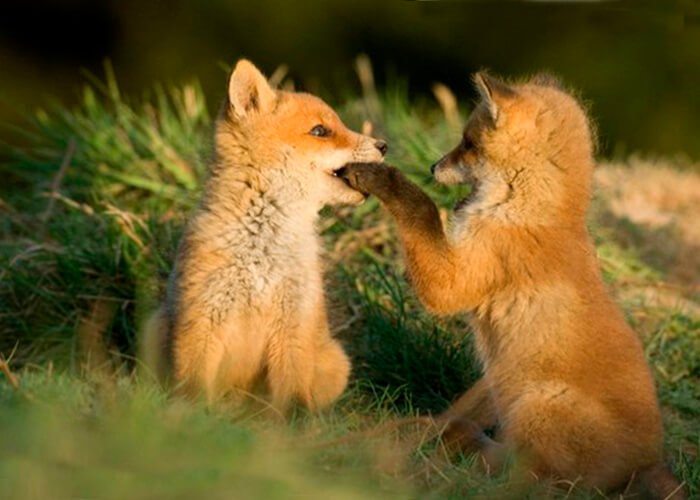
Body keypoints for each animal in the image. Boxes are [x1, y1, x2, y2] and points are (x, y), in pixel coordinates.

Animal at [141, 59, 387, 414]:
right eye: (320, 131)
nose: (384, 146)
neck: (262, 252)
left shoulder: (294, 322)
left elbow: (293, 396)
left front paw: (295, 425)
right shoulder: (202, 317)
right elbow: (193, 390)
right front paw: (194, 418)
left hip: (335, 361)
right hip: (154, 328)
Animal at [337, 73, 685, 498]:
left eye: (468, 144)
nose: (433, 166)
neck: (529, 211)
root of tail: (648, 463)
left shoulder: (455, 281)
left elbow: (421, 211)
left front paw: (386, 179)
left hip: (539, 407)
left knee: (528, 481)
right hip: (497, 391)